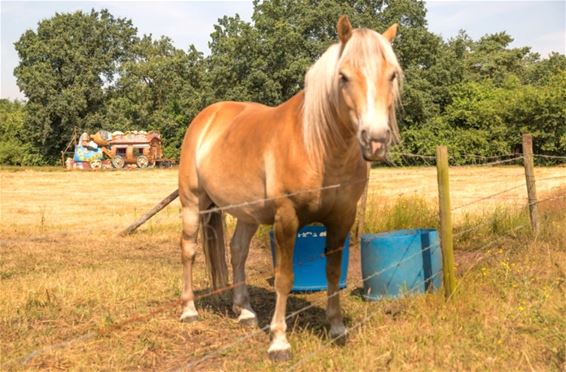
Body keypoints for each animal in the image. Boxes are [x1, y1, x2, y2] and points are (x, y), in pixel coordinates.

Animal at [179, 15, 404, 360]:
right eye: (343, 76)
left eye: (391, 74)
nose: (376, 141)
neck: (317, 147)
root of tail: (207, 117)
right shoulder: (287, 218)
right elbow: (284, 278)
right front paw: (279, 341)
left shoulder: (342, 218)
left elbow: (331, 273)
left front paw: (336, 328)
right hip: (193, 204)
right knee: (189, 250)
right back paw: (189, 310)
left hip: (247, 213)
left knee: (237, 251)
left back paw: (244, 312)